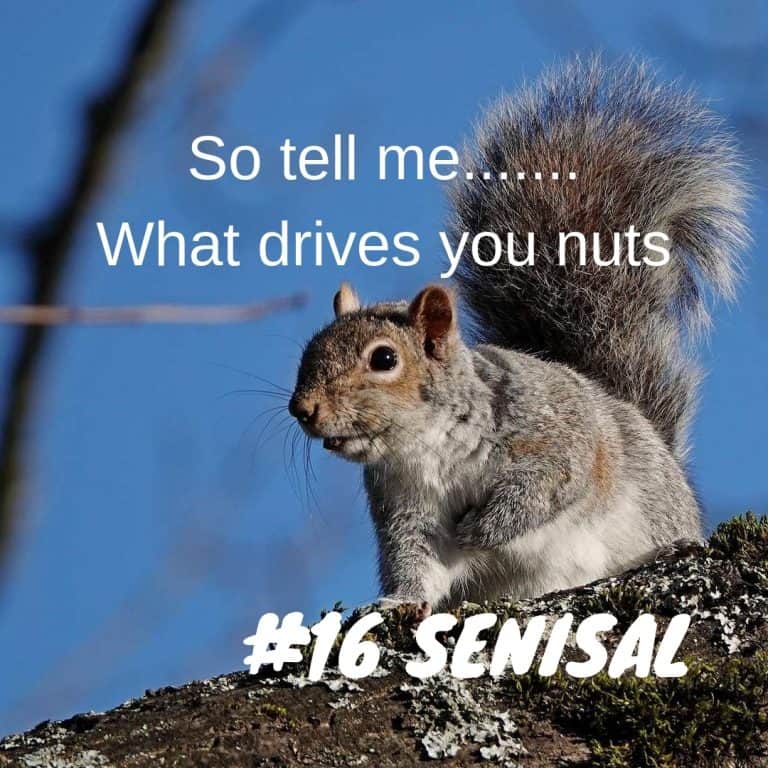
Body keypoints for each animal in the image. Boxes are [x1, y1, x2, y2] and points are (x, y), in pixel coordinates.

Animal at [288, 57, 749, 613]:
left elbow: (542, 489)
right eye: (309, 350)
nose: (302, 409)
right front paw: (396, 603)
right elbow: (416, 562)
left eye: (383, 359)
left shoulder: (556, 437)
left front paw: (480, 530)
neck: (428, 447)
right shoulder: (405, 506)